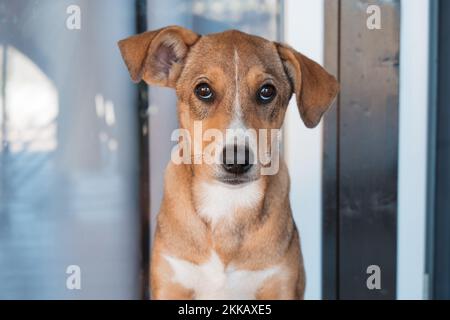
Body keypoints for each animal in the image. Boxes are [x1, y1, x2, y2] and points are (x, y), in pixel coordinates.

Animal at [118, 25, 340, 300]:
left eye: (267, 92)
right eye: (203, 90)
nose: (236, 160)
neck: (226, 202)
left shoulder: (280, 285)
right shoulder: (172, 283)